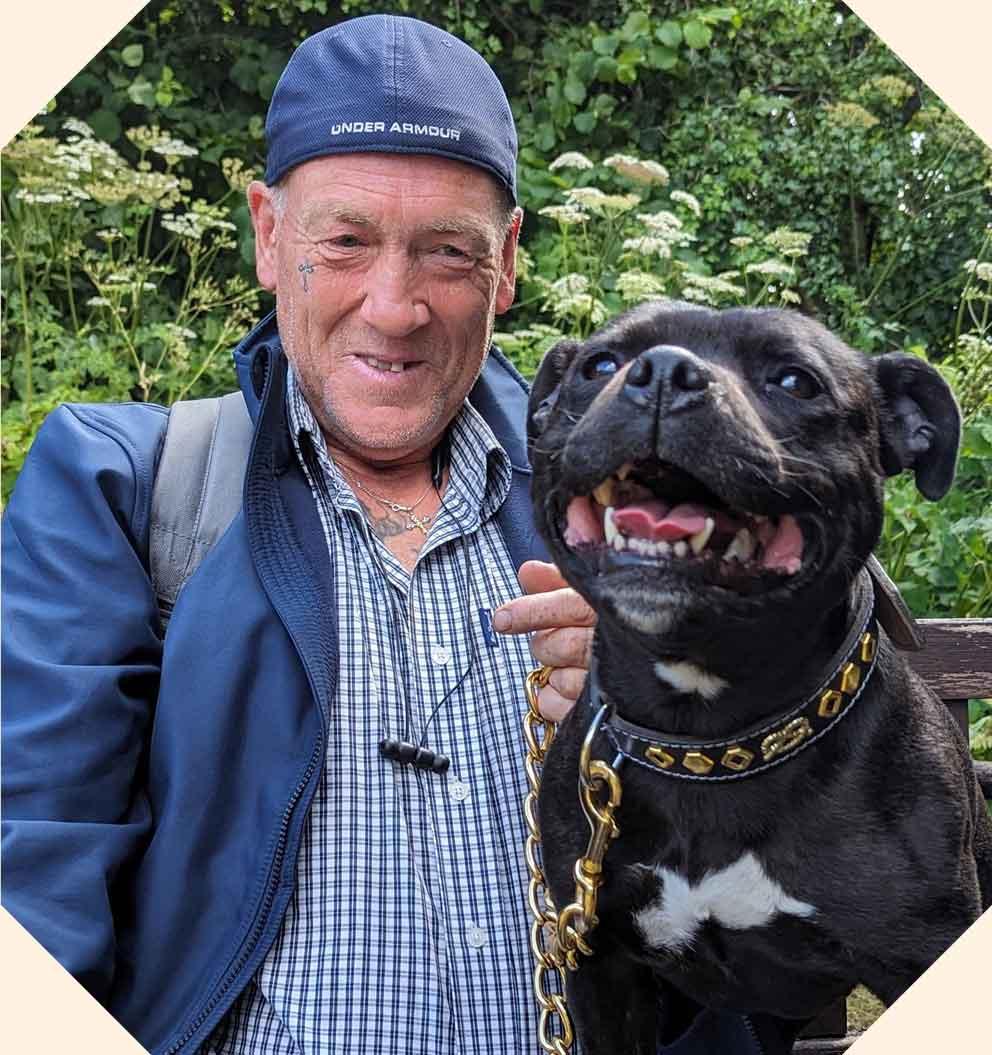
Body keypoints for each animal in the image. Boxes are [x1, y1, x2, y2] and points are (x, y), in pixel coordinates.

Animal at [531, 301, 987, 1050]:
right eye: (600, 364)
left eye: (796, 380)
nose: (663, 372)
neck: (710, 741)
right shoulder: (601, 968)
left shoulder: (921, 953)